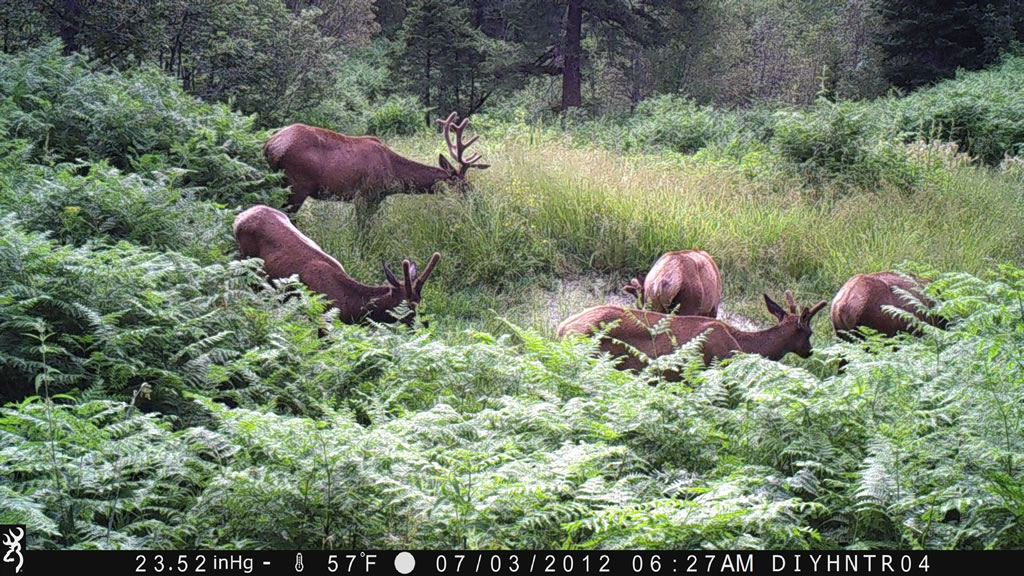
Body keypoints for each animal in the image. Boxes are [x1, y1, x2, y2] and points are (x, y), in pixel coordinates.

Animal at [233, 205, 440, 325]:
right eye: (407, 307)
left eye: (420, 303)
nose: (424, 325)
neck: (347, 306)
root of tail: (239, 217)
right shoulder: (321, 316)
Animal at [264, 111, 490, 212]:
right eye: (462, 184)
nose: (477, 200)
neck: (392, 173)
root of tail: (269, 146)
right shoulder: (365, 194)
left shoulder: (376, 198)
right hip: (296, 185)